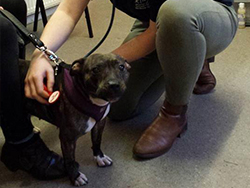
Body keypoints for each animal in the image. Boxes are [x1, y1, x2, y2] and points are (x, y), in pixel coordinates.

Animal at [20, 53, 130, 185]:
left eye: (121, 67)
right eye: (95, 70)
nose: (113, 84)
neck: (91, 99)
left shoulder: (99, 124)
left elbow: (97, 141)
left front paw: (100, 157)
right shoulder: (67, 138)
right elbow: (70, 160)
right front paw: (75, 177)